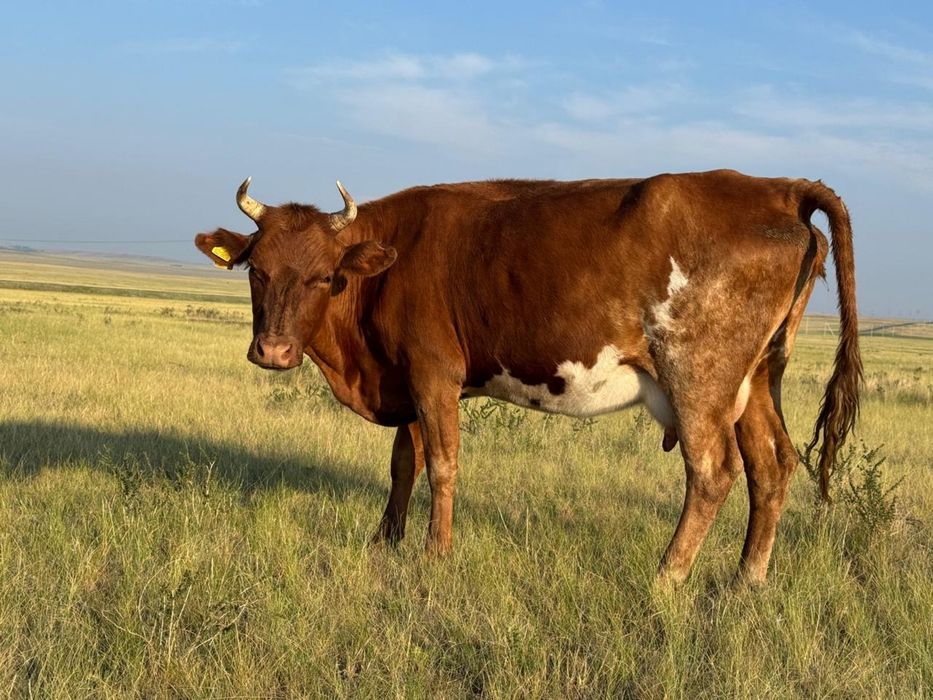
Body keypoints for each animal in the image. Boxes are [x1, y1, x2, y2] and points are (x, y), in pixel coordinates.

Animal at [194, 169, 860, 584]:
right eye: (257, 269)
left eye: (323, 276)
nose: (274, 351)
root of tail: (775, 189)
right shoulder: (405, 378)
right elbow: (404, 462)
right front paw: (386, 542)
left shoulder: (434, 373)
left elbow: (442, 464)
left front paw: (435, 556)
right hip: (757, 380)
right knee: (772, 465)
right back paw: (746, 581)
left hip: (699, 377)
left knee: (714, 472)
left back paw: (666, 579)